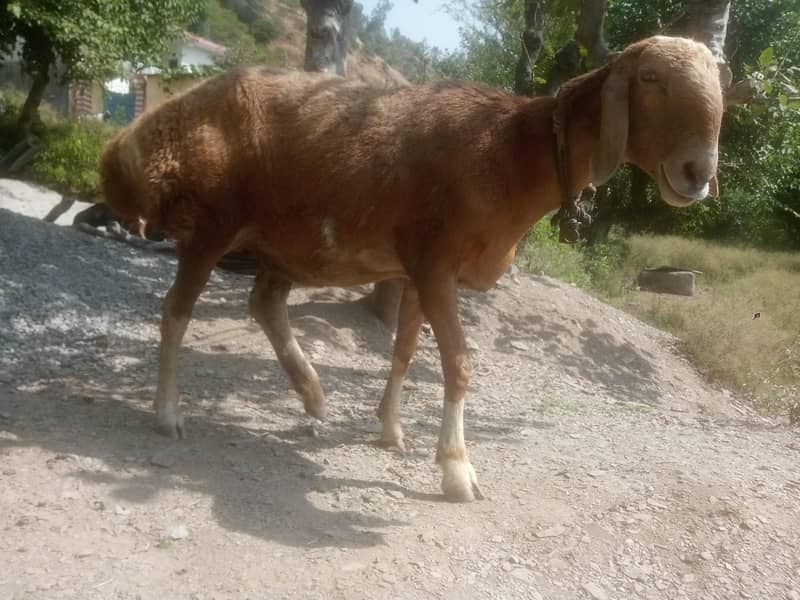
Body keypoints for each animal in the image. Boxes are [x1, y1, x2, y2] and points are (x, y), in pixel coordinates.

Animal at [100, 35, 723, 502]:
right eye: (650, 79)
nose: (698, 172)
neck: (509, 153)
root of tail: (136, 139)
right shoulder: (436, 266)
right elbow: (458, 363)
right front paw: (456, 469)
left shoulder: (417, 271)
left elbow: (403, 350)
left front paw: (390, 428)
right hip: (213, 226)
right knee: (177, 312)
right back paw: (169, 413)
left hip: (288, 239)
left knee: (264, 302)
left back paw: (312, 394)